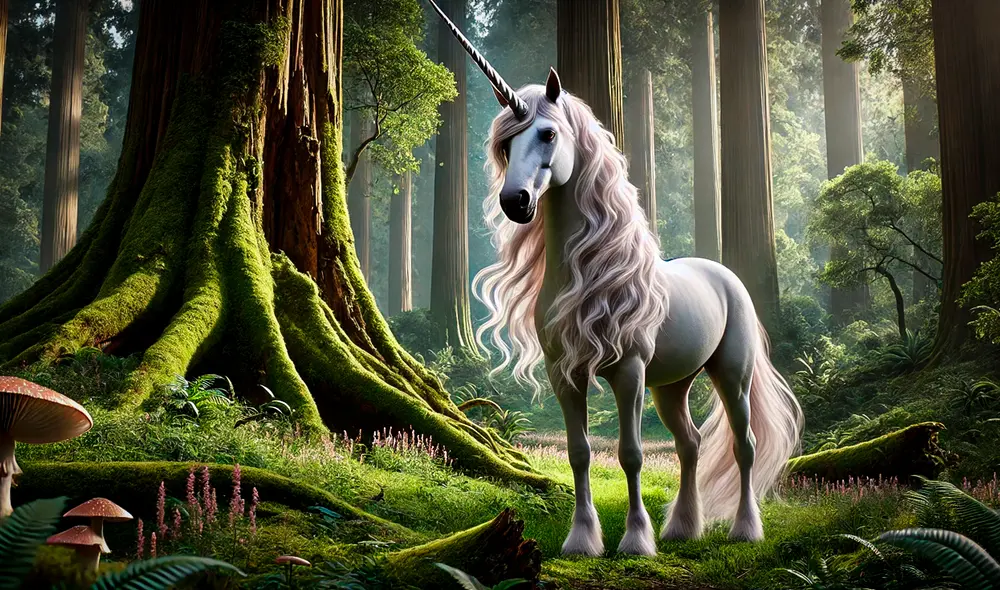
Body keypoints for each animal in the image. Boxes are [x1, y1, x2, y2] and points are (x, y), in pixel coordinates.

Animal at [428, 0, 804, 558]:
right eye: (505, 144)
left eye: (547, 133)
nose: (515, 202)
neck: (592, 274)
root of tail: (726, 277)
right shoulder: (565, 373)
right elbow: (579, 452)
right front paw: (582, 540)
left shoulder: (628, 372)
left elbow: (630, 453)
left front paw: (635, 541)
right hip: (672, 385)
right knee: (689, 444)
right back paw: (682, 528)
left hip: (731, 375)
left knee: (744, 444)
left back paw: (744, 529)